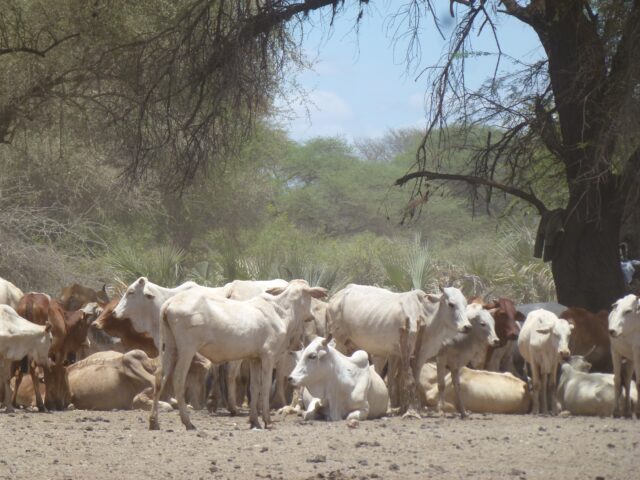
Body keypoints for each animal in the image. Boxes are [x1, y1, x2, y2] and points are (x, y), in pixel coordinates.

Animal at [151, 280, 324, 430]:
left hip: (170, 347)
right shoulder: (268, 356)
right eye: (310, 296)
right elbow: (265, 387)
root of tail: (170, 302)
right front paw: (267, 421)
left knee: (160, 377)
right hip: (187, 348)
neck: (281, 311)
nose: (311, 316)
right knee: (178, 379)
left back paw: (154, 421)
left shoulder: (255, 358)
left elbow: (254, 387)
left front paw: (254, 421)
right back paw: (188, 422)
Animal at [330, 284, 470, 416]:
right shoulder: (407, 352)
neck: (426, 316)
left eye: (465, 303)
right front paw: (407, 409)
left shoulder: (406, 355)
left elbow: (400, 380)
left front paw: (402, 408)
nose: (467, 326)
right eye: (451, 304)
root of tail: (339, 294)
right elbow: (408, 381)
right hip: (339, 340)